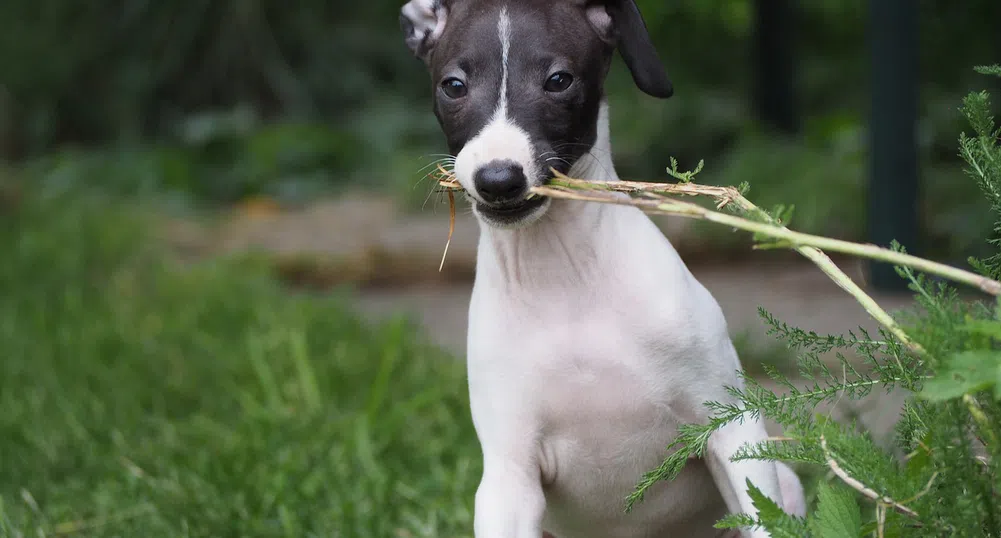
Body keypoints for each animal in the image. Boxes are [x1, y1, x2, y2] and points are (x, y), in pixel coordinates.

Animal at [398, 2, 804, 532]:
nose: (498, 180)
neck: (564, 277)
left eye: (558, 80)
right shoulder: (509, 476)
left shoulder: (732, 427)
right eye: (453, 85)